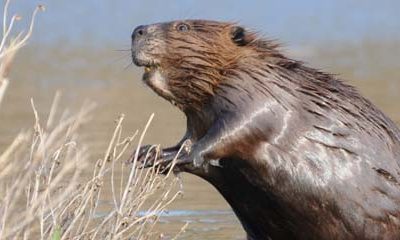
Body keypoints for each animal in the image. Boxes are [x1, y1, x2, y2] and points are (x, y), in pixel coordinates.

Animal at [130, 19, 398, 239]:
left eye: (182, 27)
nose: (137, 31)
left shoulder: (257, 94)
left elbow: (235, 130)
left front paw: (177, 155)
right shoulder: (199, 118)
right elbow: (190, 139)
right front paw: (147, 153)